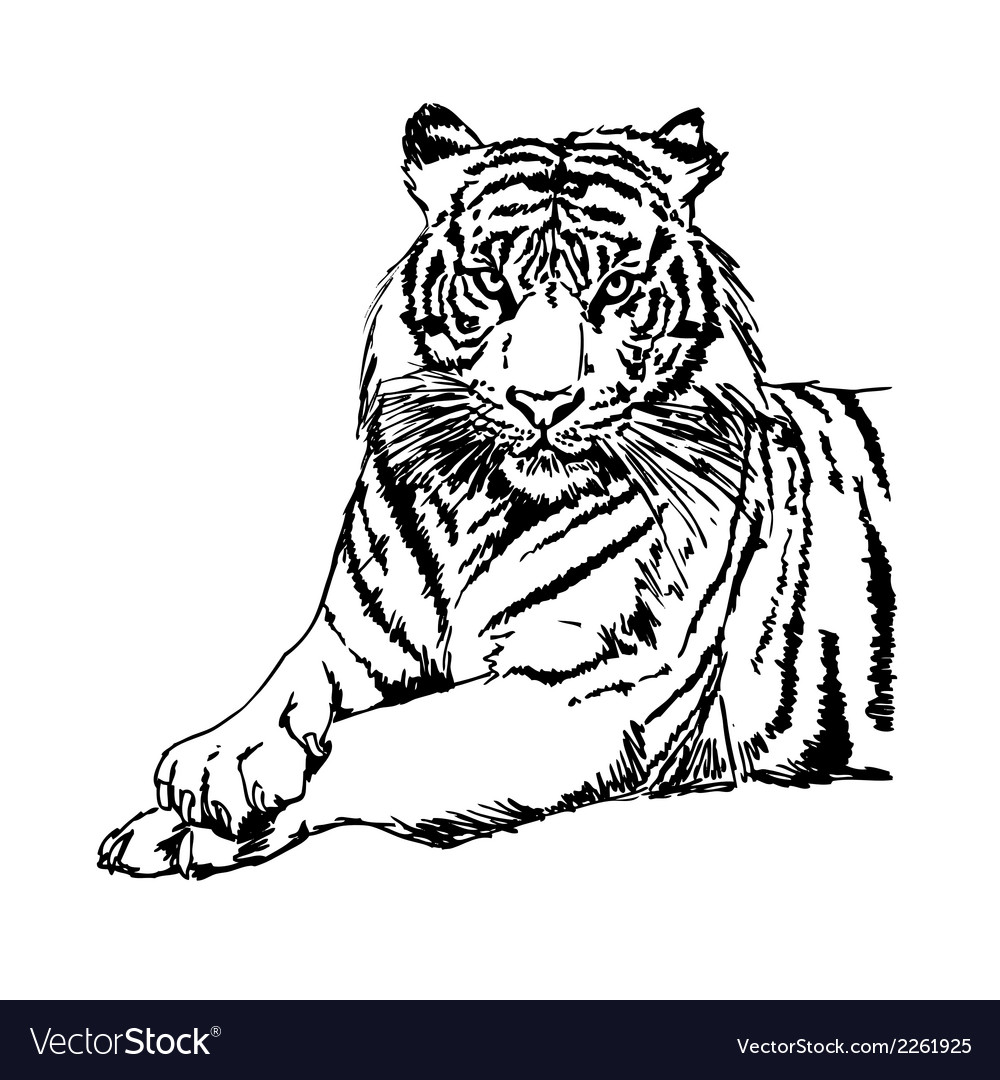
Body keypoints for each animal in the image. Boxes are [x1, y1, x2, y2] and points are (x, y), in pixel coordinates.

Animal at [98, 104, 895, 879]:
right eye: (490, 283)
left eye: (615, 289)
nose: (545, 401)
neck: (478, 505)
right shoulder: (356, 641)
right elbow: (289, 683)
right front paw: (211, 764)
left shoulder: (582, 688)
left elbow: (377, 739)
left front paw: (202, 825)